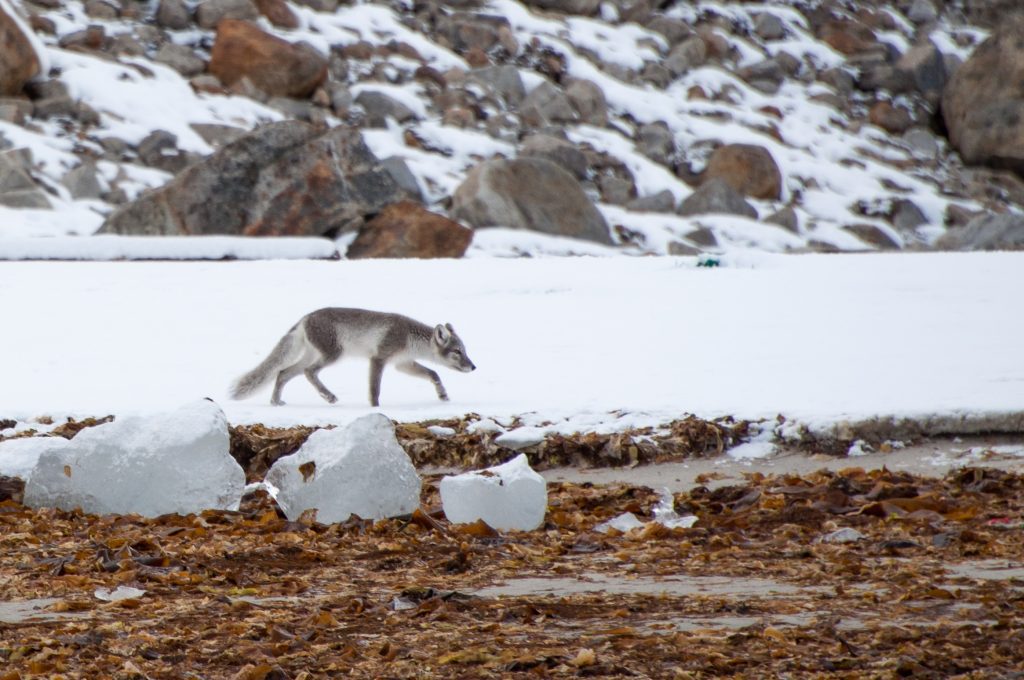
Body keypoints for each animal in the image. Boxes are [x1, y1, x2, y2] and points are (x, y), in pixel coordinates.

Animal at [230, 307, 476, 407]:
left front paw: (443, 395)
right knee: (309, 372)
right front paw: (376, 409)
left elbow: (433, 374)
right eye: (457, 352)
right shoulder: (379, 358)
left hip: (311, 356)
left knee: (282, 372)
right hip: (333, 354)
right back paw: (328, 396)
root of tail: (305, 317)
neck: (409, 338)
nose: (473, 367)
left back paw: (276, 402)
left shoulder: (402, 364)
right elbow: (374, 389)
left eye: (465, 350)